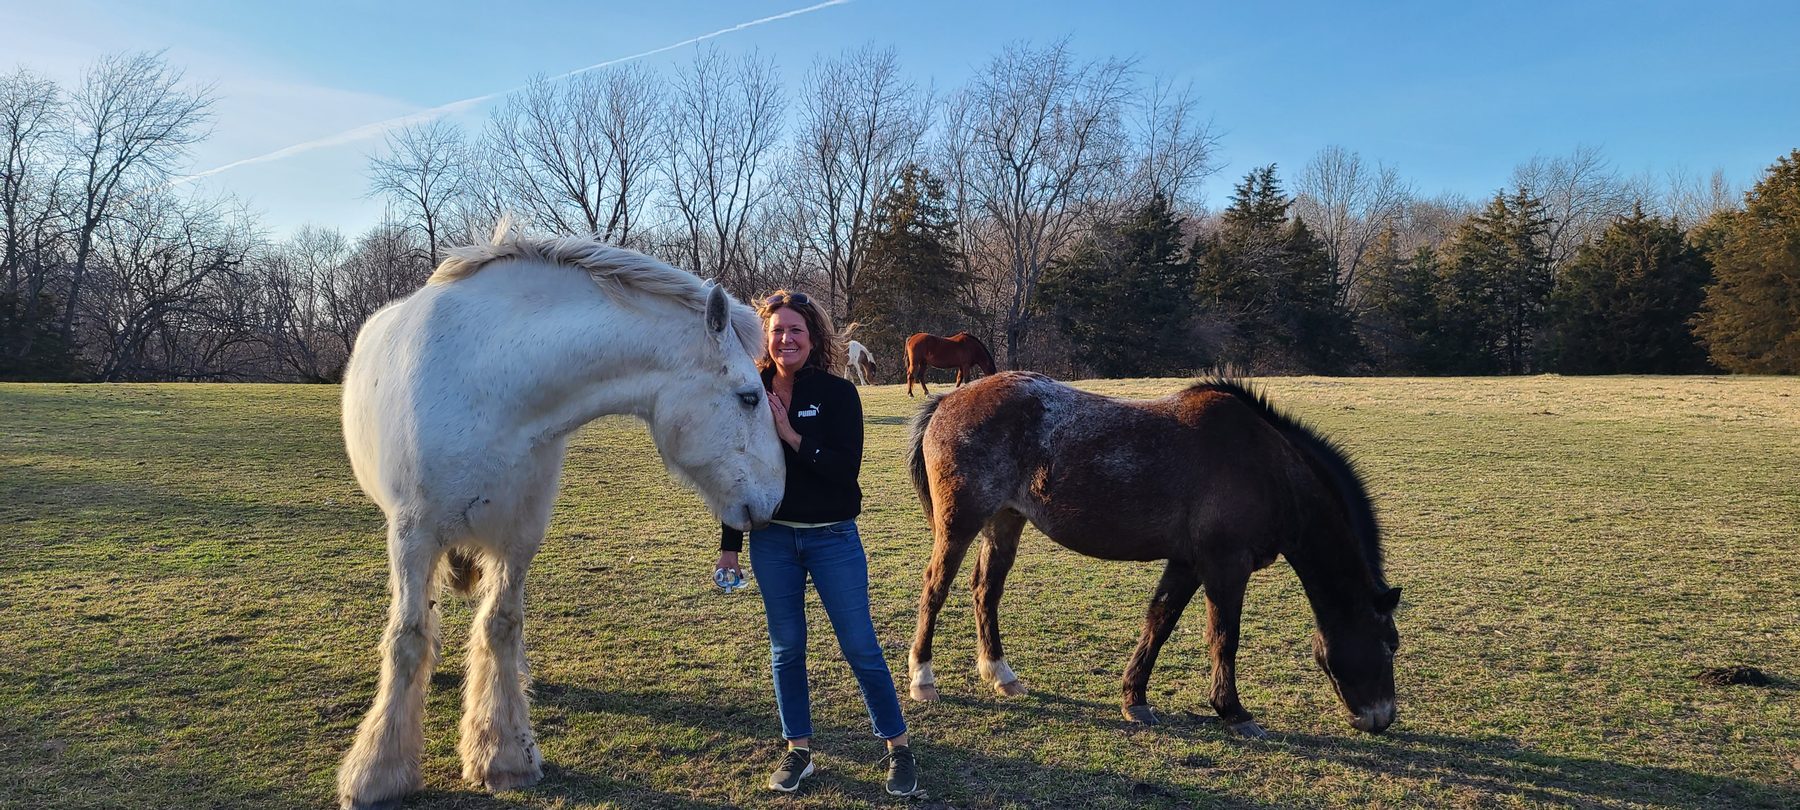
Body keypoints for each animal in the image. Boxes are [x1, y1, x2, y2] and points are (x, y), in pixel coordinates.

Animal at [335, 228, 785, 810]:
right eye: (750, 397)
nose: (776, 500)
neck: (491, 380)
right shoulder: (412, 538)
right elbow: (408, 638)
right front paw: (377, 771)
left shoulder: (519, 539)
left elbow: (500, 626)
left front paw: (503, 754)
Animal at [904, 372, 1400, 738]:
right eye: (1389, 644)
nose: (1381, 718)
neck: (1266, 466)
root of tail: (948, 400)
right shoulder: (1225, 567)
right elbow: (1224, 637)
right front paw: (1234, 712)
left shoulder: (1187, 564)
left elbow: (1159, 623)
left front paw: (1135, 699)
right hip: (959, 525)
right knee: (935, 589)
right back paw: (922, 678)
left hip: (1004, 522)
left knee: (985, 592)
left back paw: (1000, 673)